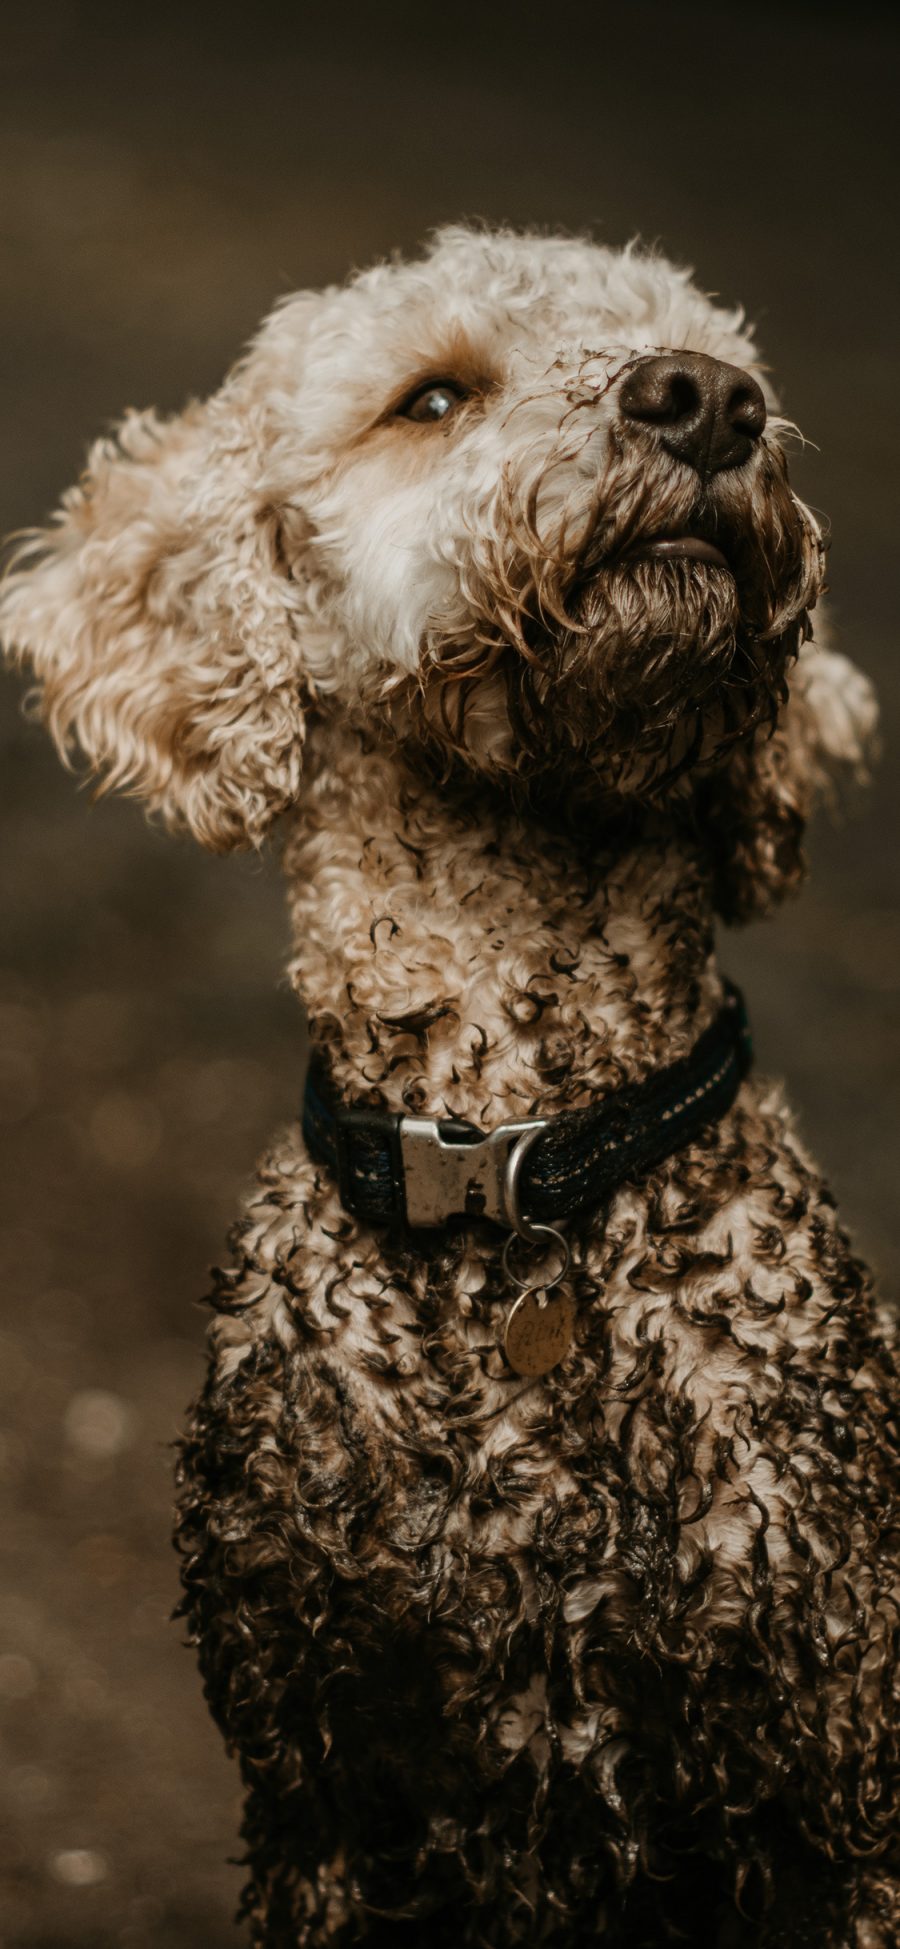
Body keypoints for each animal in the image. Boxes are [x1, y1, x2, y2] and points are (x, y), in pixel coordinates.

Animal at [1, 231, 900, 1949]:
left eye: (712, 354)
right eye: (431, 397)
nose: (709, 400)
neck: (515, 1155)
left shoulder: (839, 1779)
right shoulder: (324, 1798)